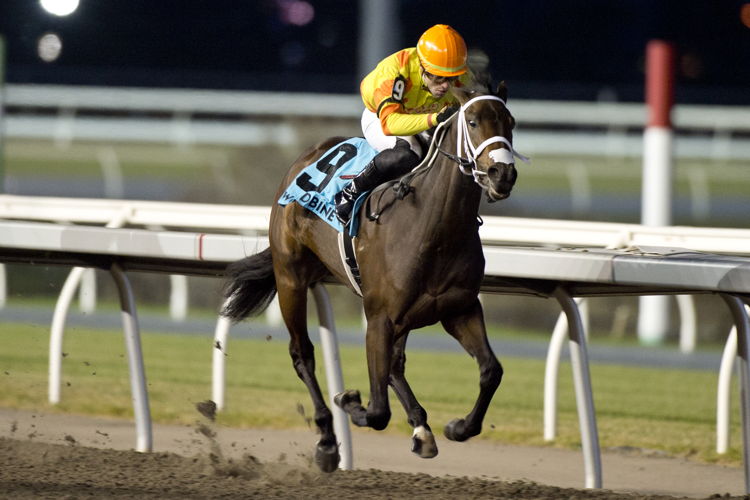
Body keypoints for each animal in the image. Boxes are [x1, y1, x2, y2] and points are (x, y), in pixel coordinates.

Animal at [220, 79, 520, 472]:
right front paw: (348, 401)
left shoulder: (459, 309)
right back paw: (327, 440)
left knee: (395, 365)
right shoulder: (379, 316)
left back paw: (421, 428)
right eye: (471, 121)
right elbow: (377, 411)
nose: (503, 174)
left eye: (511, 122)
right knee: (303, 353)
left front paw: (459, 426)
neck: (434, 227)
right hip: (290, 278)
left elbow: (491, 370)